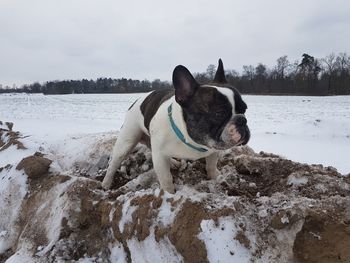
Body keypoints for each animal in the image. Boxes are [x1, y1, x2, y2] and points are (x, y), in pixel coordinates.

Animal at [102, 59, 250, 194]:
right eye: (219, 113)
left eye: (244, 109)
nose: (242, 120)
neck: (189, 137)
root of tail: (138, 100)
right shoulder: (160, 158)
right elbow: (166, 178)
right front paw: (169, 193)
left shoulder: (213, 149)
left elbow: (212, 164)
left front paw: (214, 177)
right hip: (127, 141)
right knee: (114, 163)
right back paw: (106, 183)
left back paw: (173, 162)